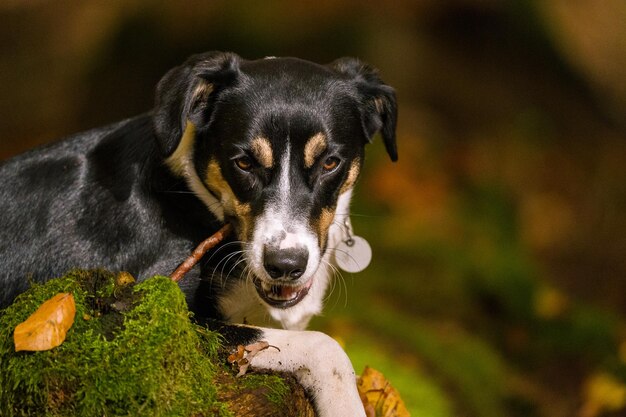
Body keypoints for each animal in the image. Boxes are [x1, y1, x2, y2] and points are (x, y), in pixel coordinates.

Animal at [1, 52, 394, 416]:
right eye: (244, 163)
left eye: (330, 163)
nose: (285, 265)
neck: (192, 194)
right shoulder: (143, 310)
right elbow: (325, 346)